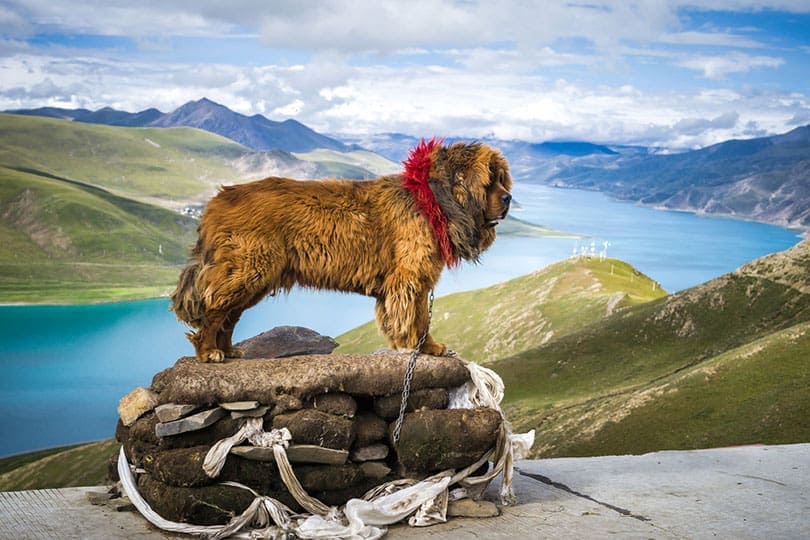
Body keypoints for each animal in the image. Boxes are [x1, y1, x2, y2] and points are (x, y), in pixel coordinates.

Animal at [170, 138, 512, 362]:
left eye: (502, 180)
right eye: (489, 181)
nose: (509, 198)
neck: (431, 199)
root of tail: (216, 203)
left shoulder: (407, 282)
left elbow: (409, 317)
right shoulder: (410, 278)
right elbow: (416, 318)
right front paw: (423, 346)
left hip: (254, 277)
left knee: (229, 315)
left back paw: (228, 349)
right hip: (249, 270)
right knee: (213, 310)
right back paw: (208, 351)